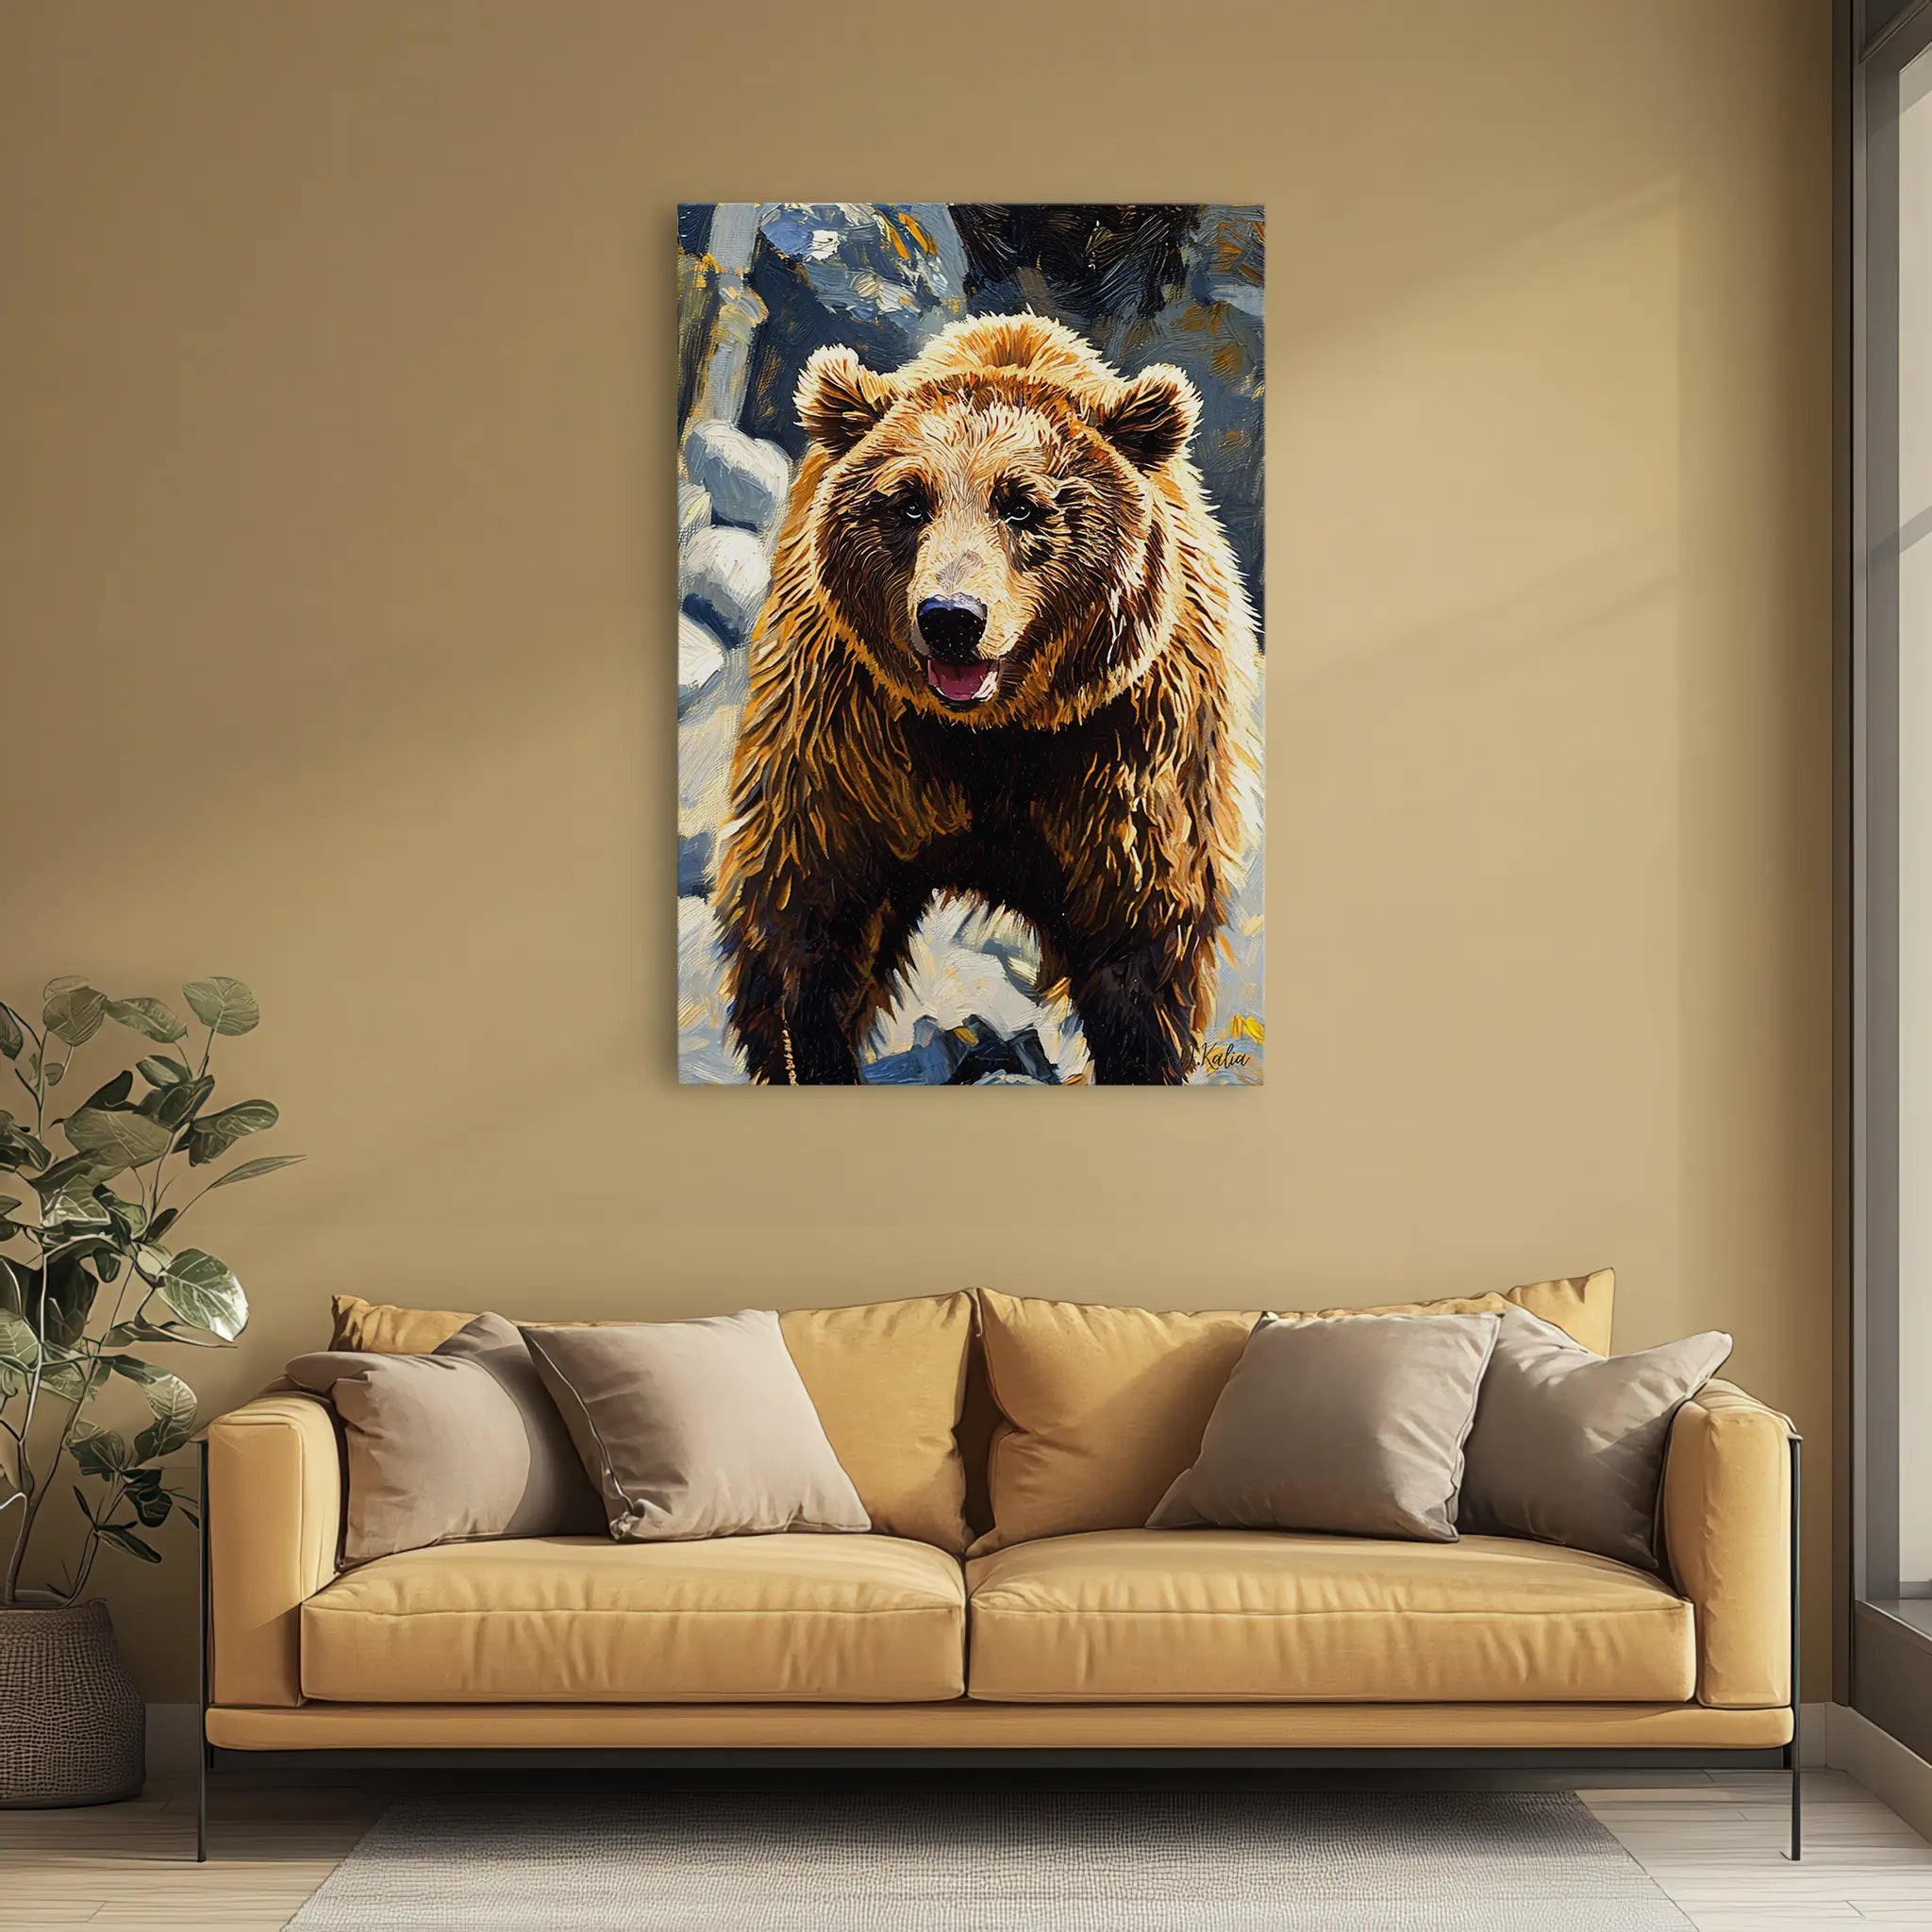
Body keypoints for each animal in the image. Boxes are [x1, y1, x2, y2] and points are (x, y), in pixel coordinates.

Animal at [714, 311, 1259, 1085]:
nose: (951, 617)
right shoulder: (851, 733)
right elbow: (808, 912)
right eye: (909, 502)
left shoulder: (1123, 749)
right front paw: (812, 1053)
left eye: (1023, 505)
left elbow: (1140, 950)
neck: (997, 726)